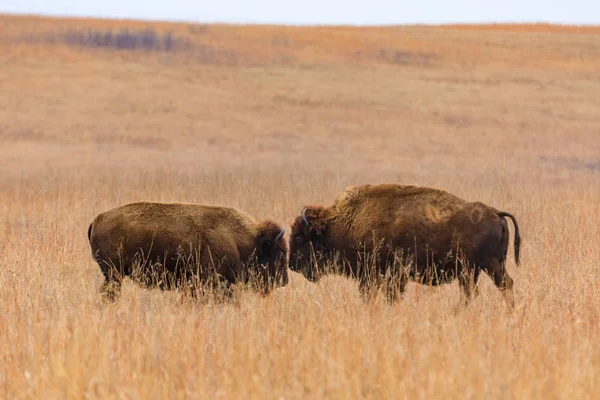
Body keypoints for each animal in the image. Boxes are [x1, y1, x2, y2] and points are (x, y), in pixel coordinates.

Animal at [290, 184, 520, 306]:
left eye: (300, 238)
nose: (291, 265)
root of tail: (496, 213)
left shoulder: (381, 275)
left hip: (474, 268)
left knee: (476, 292)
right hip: (489, 266)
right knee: (504, 285)